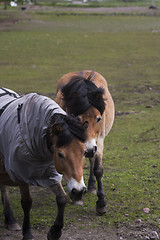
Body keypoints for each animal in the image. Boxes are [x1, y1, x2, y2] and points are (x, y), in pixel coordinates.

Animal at [0, 88, 87, 240]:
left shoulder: (50, 173)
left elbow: (61, 198)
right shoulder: (21, 173)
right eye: (60, 154)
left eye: (84, 151)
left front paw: (55, 231)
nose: (79, 191)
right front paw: (27, 233)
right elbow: (26, 202)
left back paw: (10, 220)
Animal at [55, 70, 114, 215]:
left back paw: (92, 186)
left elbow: (98, 169)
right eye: (78, 118)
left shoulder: (99, 141)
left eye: (98, 118)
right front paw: (76, 196)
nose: (89, 149)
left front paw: (101, 203)